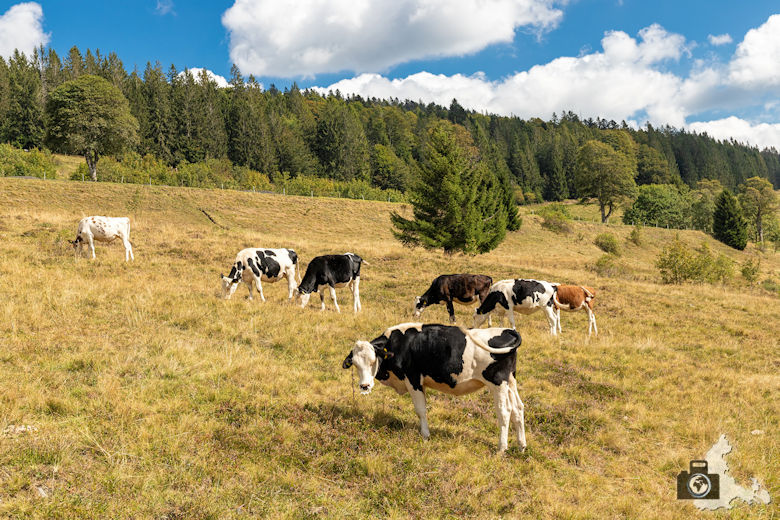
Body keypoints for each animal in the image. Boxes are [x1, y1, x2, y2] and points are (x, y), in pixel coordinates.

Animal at [342, 323, 526, 452]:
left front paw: (425, 435)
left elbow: (420, 410)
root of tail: (507, 330)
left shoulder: (413, 380)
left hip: (498, 383)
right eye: (355, 364)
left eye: (373, 361)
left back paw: (502, 447)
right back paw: (521, 445)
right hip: (510, 381)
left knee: (504, 411)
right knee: (518, 408)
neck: (399, 344)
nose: (364, 386)